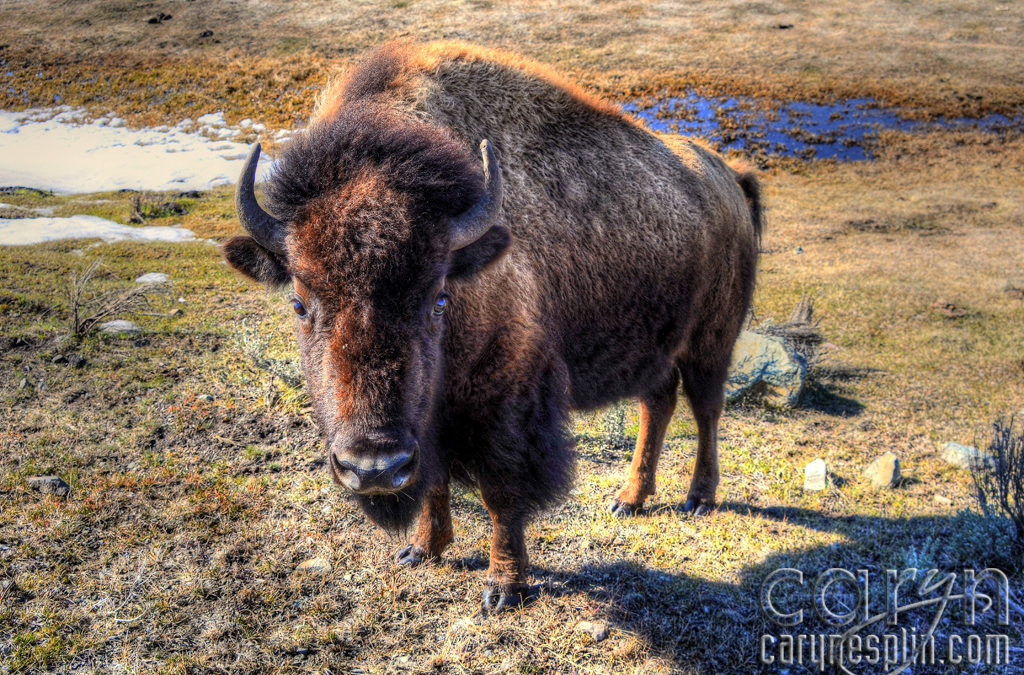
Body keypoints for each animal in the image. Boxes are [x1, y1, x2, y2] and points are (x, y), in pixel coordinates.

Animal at [224, 40, 761, 614]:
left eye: (438, 298)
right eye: (299, 304)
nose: (373, 468)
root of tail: (730, 177)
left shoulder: (506, 403)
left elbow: (500, 493)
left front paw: (504, 588)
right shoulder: (430, 420)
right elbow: (435, 480)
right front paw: (421, 550)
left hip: (711, 342)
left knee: (706, 410)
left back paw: (698, 499)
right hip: (656, 348)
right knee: (656, 407)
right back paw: (628, 500)